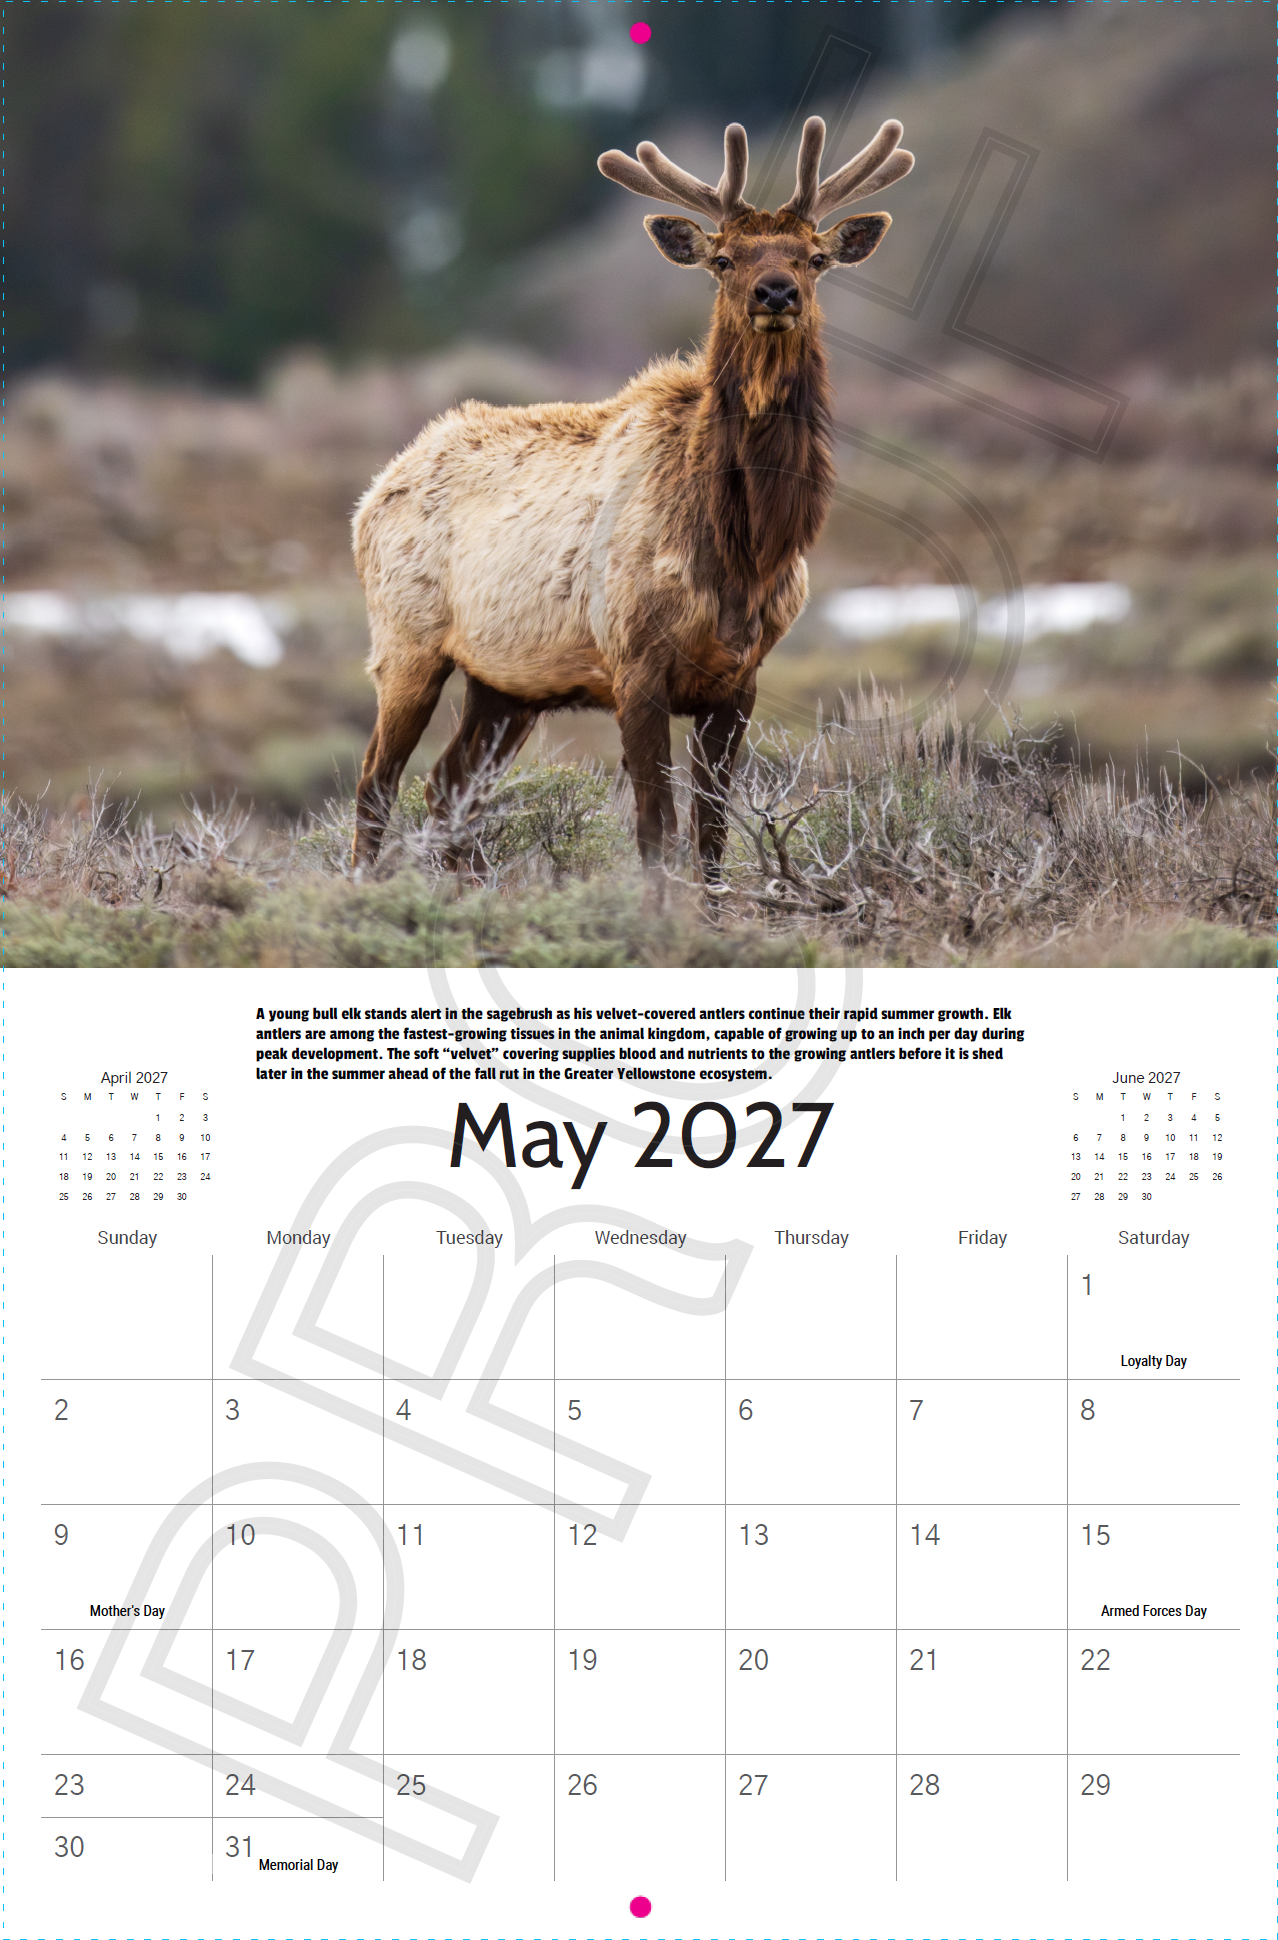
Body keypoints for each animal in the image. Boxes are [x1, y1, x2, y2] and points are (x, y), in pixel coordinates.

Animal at [350, 113, 913, 880]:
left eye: (814, 257)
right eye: (723, 259)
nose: (775, 293)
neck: (744, 549)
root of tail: (373, 493)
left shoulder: (739, 679)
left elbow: (711, 834)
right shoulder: (633, 661)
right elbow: (656, 829)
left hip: (507, 682)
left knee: (448, 786)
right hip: (406, 642)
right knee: (376, 782)